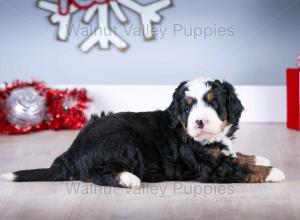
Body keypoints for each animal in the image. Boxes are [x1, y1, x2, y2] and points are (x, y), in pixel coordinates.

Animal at [2, 79, 286, 187]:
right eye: (187, 107)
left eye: (214, 103)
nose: (199, 122)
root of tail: (72, 150)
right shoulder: (211, 168)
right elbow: (241, 168)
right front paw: (274, 172)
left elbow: (237, 155)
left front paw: (259, 157)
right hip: (122, 142)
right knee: (93, 175)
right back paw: (127, 178)